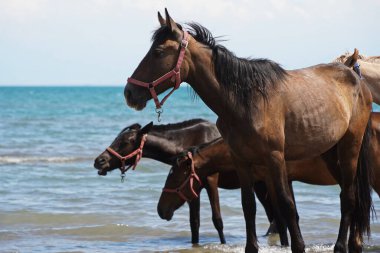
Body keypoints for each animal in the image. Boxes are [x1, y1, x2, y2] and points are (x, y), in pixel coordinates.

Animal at [94, 119, 229, 244]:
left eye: (126, 142)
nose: (99, 161)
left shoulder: (211, 181)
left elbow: (217, 221)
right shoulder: (191, 189)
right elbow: (194, 224)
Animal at [123, 8, 372, 252]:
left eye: (158, 52)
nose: (129, 93)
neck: (245, 102)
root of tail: (355, 77)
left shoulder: (275, 158)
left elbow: (286, 205)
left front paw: (299, 245)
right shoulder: (241, 160)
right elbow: (248, 206)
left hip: (350, 146)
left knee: (349, 196)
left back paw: (341, 246)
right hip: (330, 152)